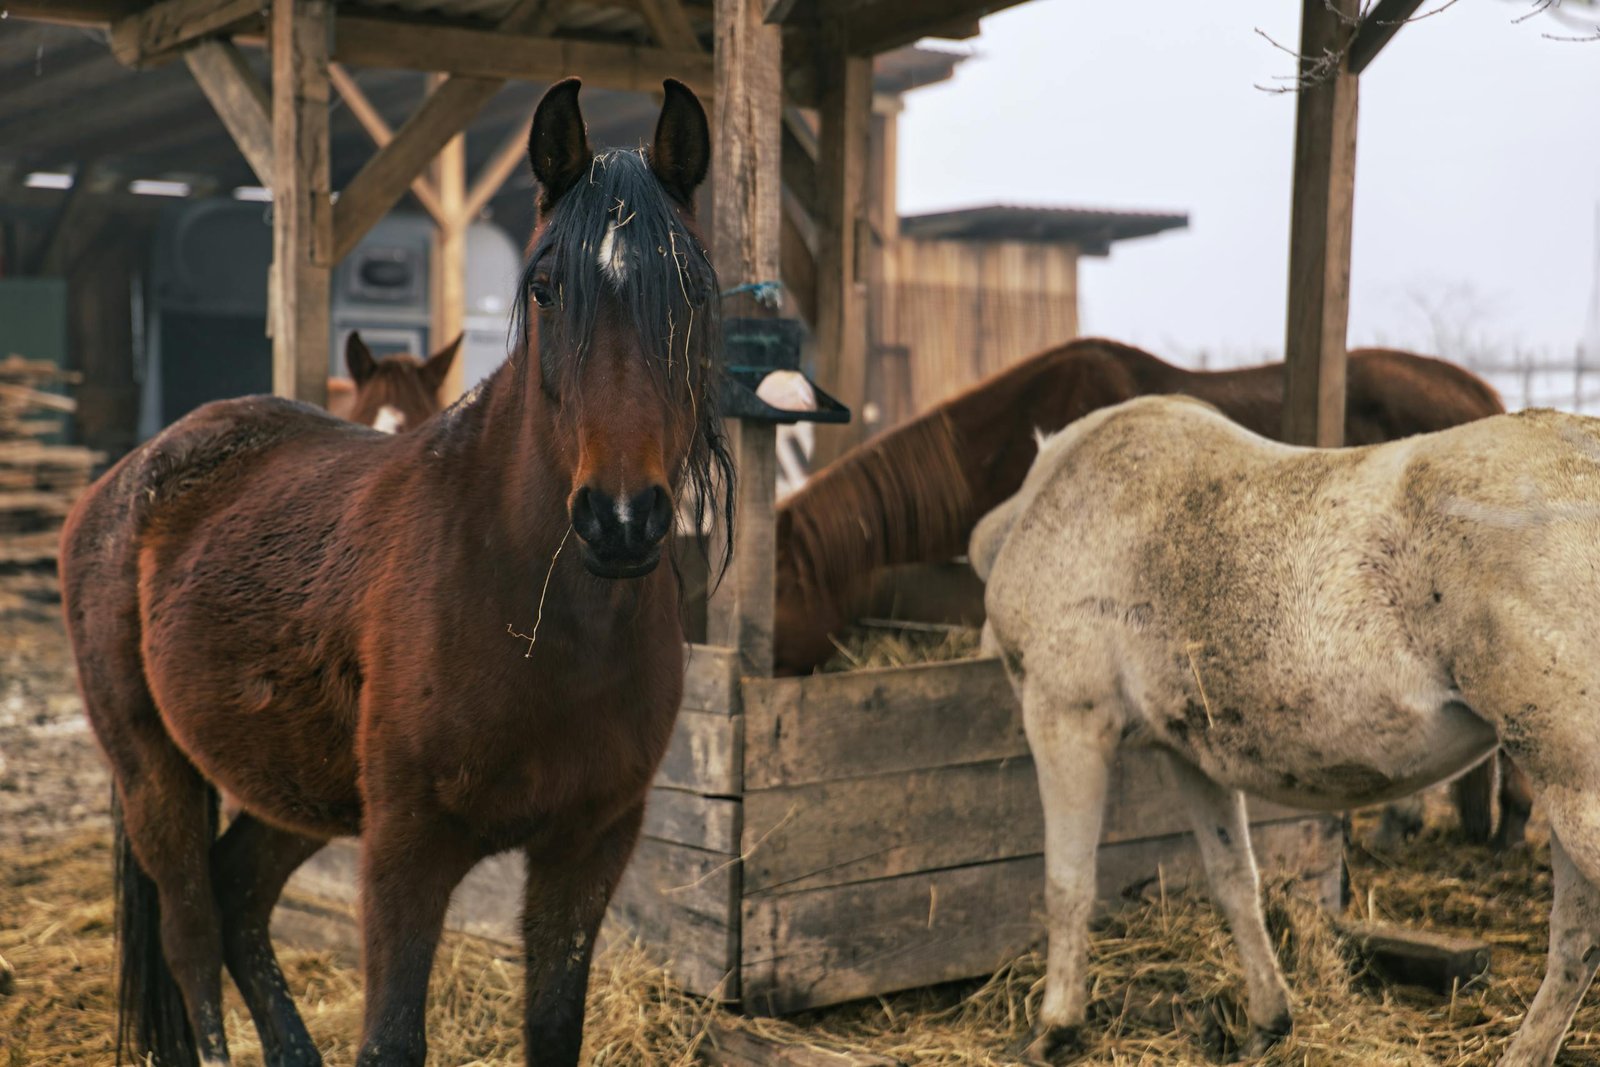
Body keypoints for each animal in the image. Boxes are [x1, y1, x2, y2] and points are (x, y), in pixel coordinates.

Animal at [972, 397, 1600, 1067]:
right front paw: (1268, 1017)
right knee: (1575, 942)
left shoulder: (1065, 716)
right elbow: (1234, 882)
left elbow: (1067, 884)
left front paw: (1056, 1025)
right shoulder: (1189, 754)